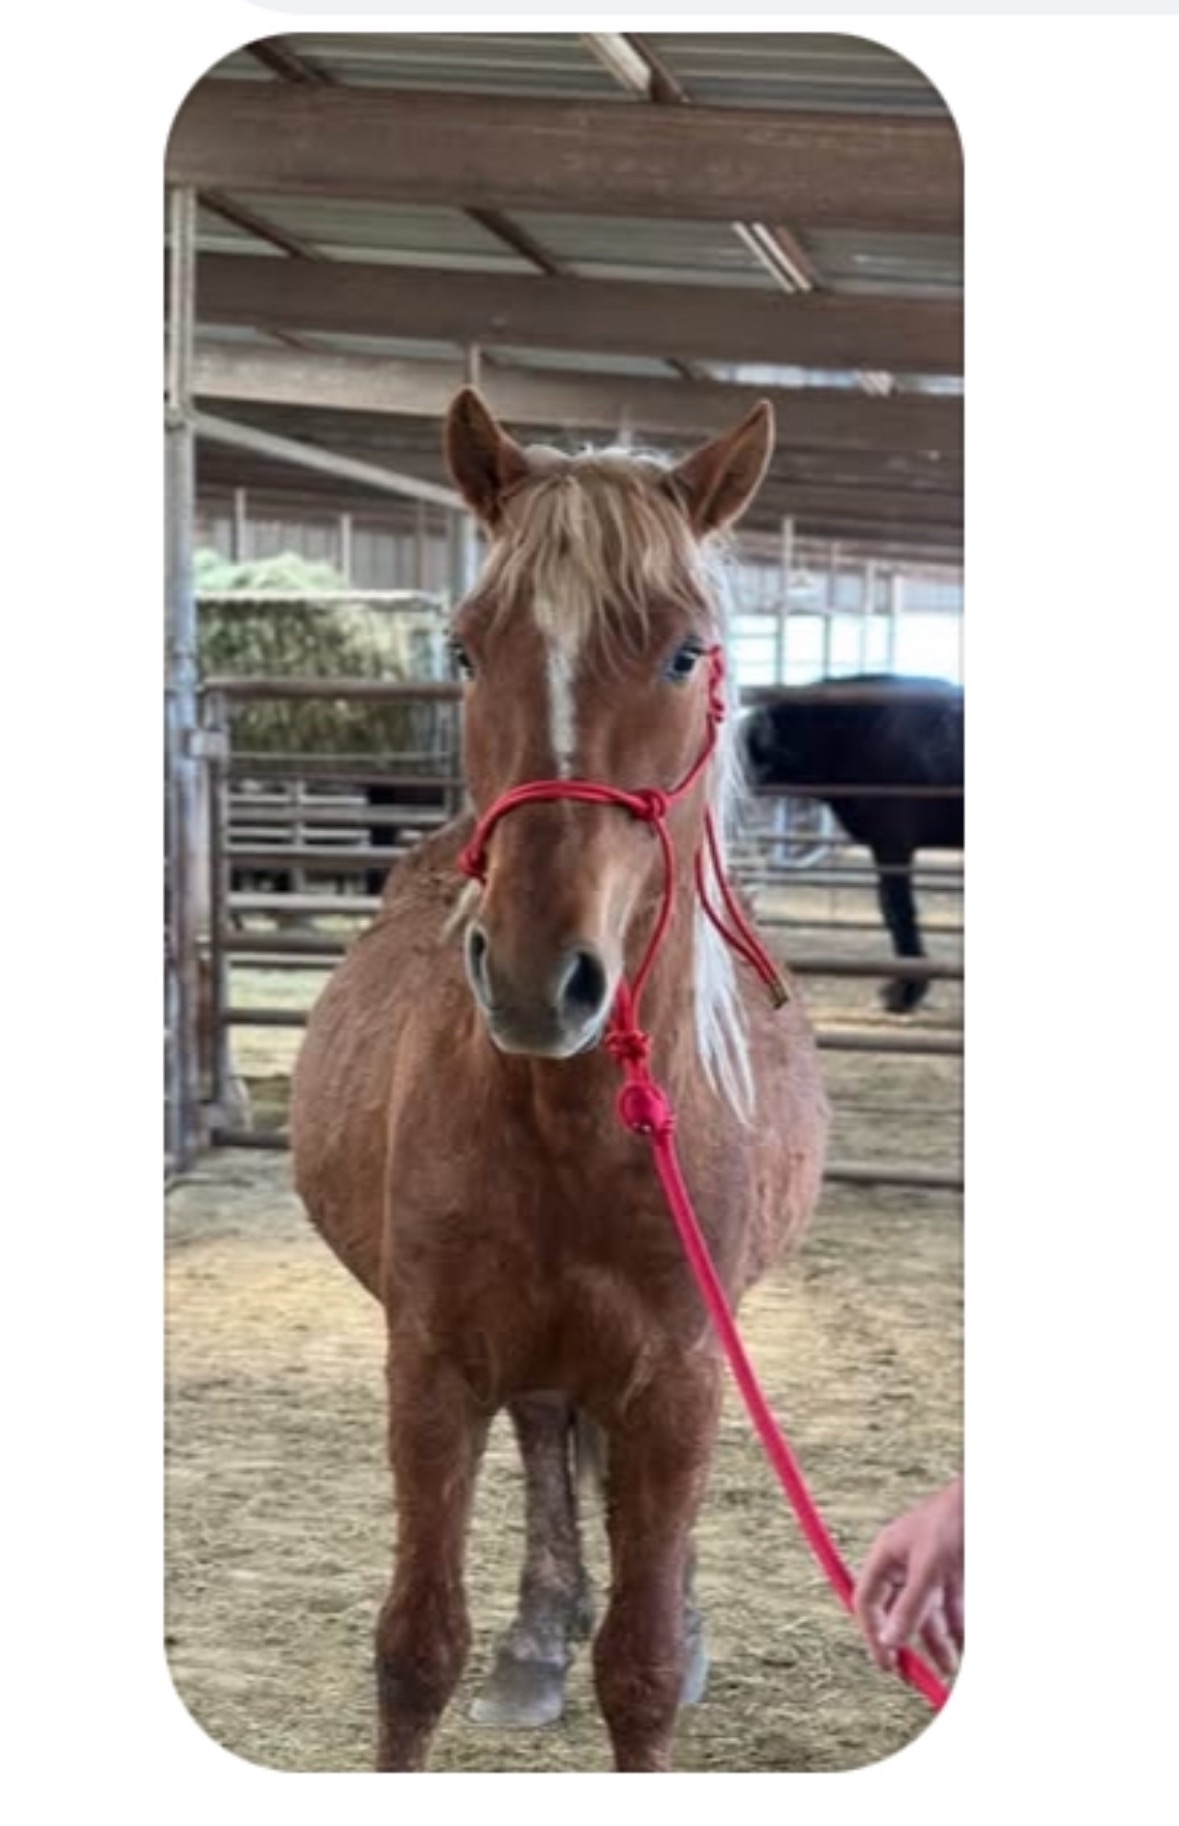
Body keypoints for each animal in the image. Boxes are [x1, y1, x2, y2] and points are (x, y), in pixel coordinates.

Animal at [291, 389, 829, 1774]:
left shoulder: (680, 1378)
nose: (541, 976)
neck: (575, 1127)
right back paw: (538, 1635)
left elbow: (637, 1666)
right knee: (545, 1439)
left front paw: (664, 1639)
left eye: (687, 654)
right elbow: (415, 1649)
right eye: (466, 648)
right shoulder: (431, 1369)